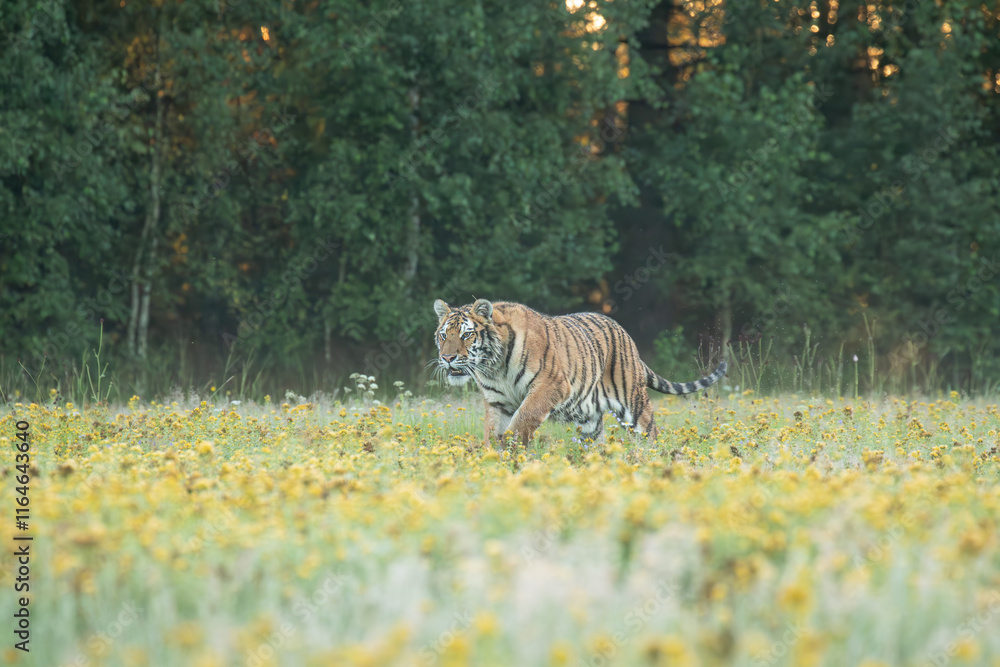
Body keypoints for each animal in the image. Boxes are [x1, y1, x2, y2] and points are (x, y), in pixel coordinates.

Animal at [433, 298, 727, 447]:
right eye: (444, 335)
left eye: (467, 335)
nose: (447, 358)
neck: (494, 366)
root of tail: (627, 336)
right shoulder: (497, 402)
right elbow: (491, 432)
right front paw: (492, 459)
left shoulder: (549, 386)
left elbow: (523, 419)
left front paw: (511, 448)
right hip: (589, 419)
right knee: (596, 443)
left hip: (634, 403)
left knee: (651, 433)